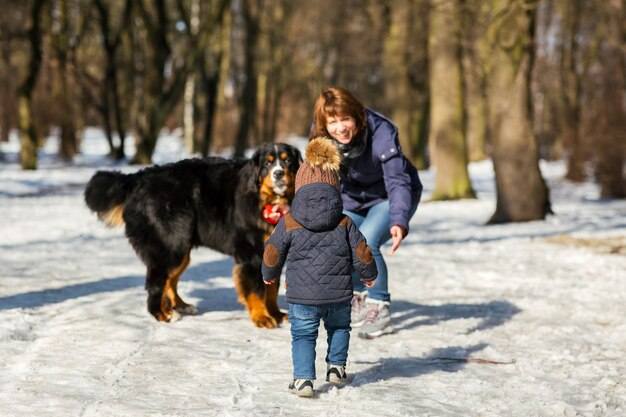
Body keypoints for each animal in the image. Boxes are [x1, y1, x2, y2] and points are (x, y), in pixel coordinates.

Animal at [83, 141, 302, 326]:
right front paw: (262, 317)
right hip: (170, 245)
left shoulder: (273, 253)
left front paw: (275, 313)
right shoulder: (252, 254)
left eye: (288, 161)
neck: (266, 200)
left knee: (169, 281)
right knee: (156, 282)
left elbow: (271, 288)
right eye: (268, 163)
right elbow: (257, 290)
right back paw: (162, 314)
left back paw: (180, 306)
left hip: (180, 247)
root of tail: (136, 180)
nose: (279, 173)